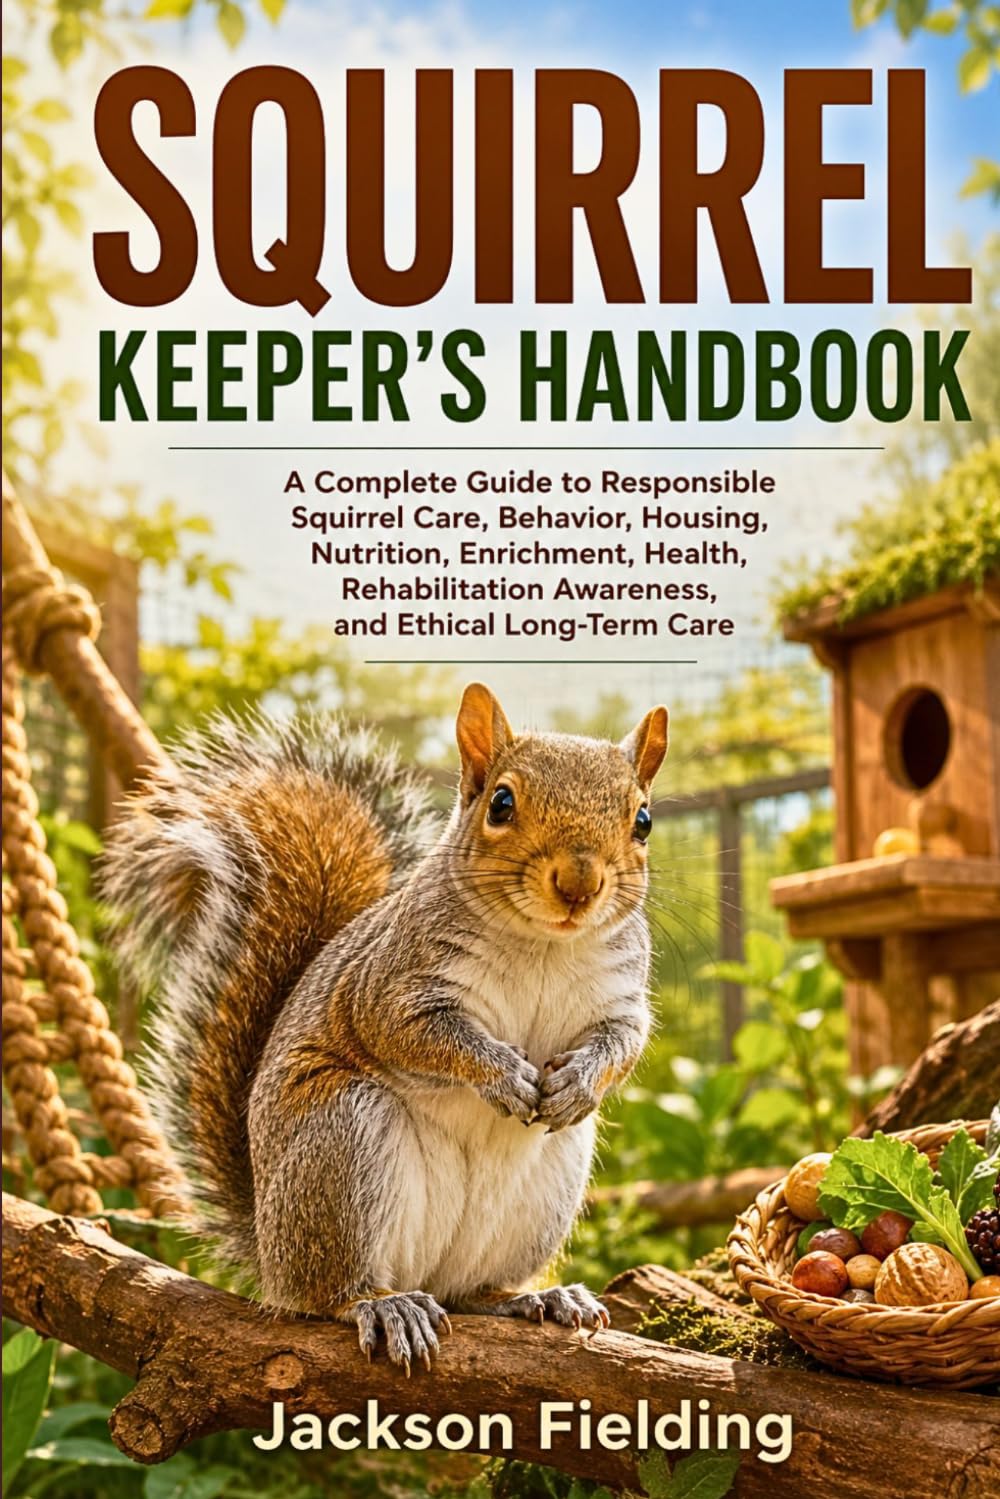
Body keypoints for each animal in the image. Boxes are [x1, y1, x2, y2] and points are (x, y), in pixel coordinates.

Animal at [104, 683, 668, 1371]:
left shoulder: (620, 995)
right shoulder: (391, 984)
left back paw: (535, 1297)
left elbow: (625, 1042)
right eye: (502, 803)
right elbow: (413, 1033)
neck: (544, 945)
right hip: (342, 1140)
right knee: (329, 1294)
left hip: (545, 1189)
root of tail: (269, 1250)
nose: (579, 884)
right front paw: (502, 1075)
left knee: (467, 1291)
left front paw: (580, 1083)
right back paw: (381, 1304)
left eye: (643, 820)